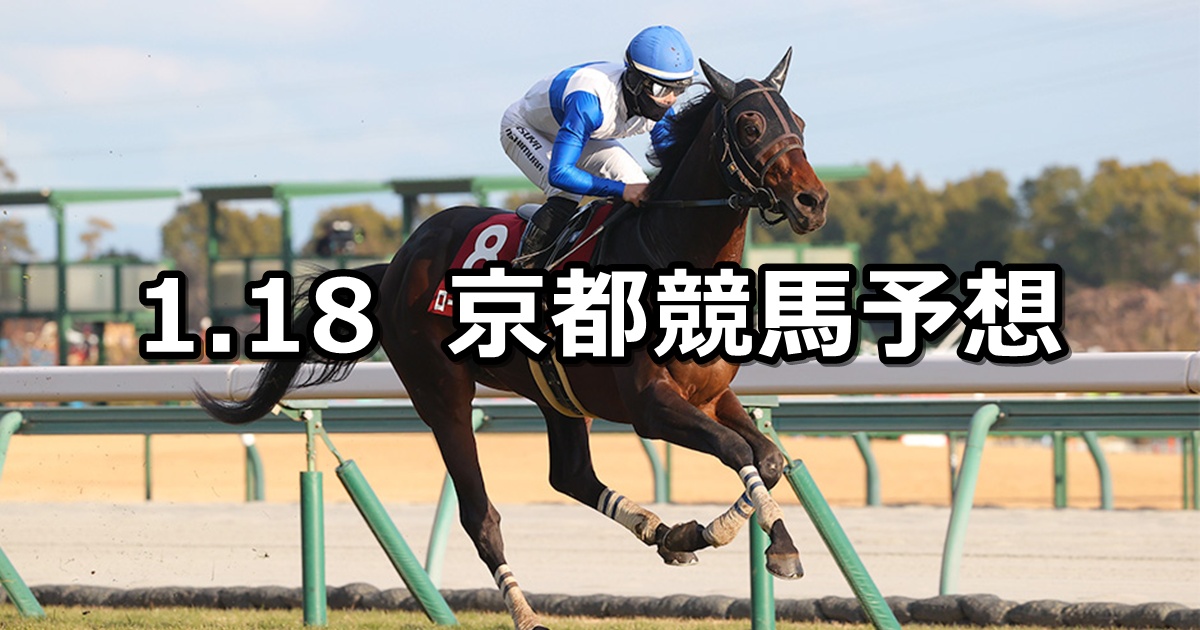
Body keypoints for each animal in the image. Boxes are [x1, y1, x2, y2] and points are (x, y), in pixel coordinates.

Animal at [198, 49, 828, 630]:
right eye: (750, 127)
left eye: (799, 120)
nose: (813, 202)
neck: (672, 258)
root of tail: (398, 262)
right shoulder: (651, 406)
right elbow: (737, 451)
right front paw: (744, 536)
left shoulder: (711, 395)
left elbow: (769, 457)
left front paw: (764, 539)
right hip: (441, 395)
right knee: (481, 516)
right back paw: (527, 612)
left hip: (556, 393)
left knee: (569, 475)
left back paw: (667, 531)